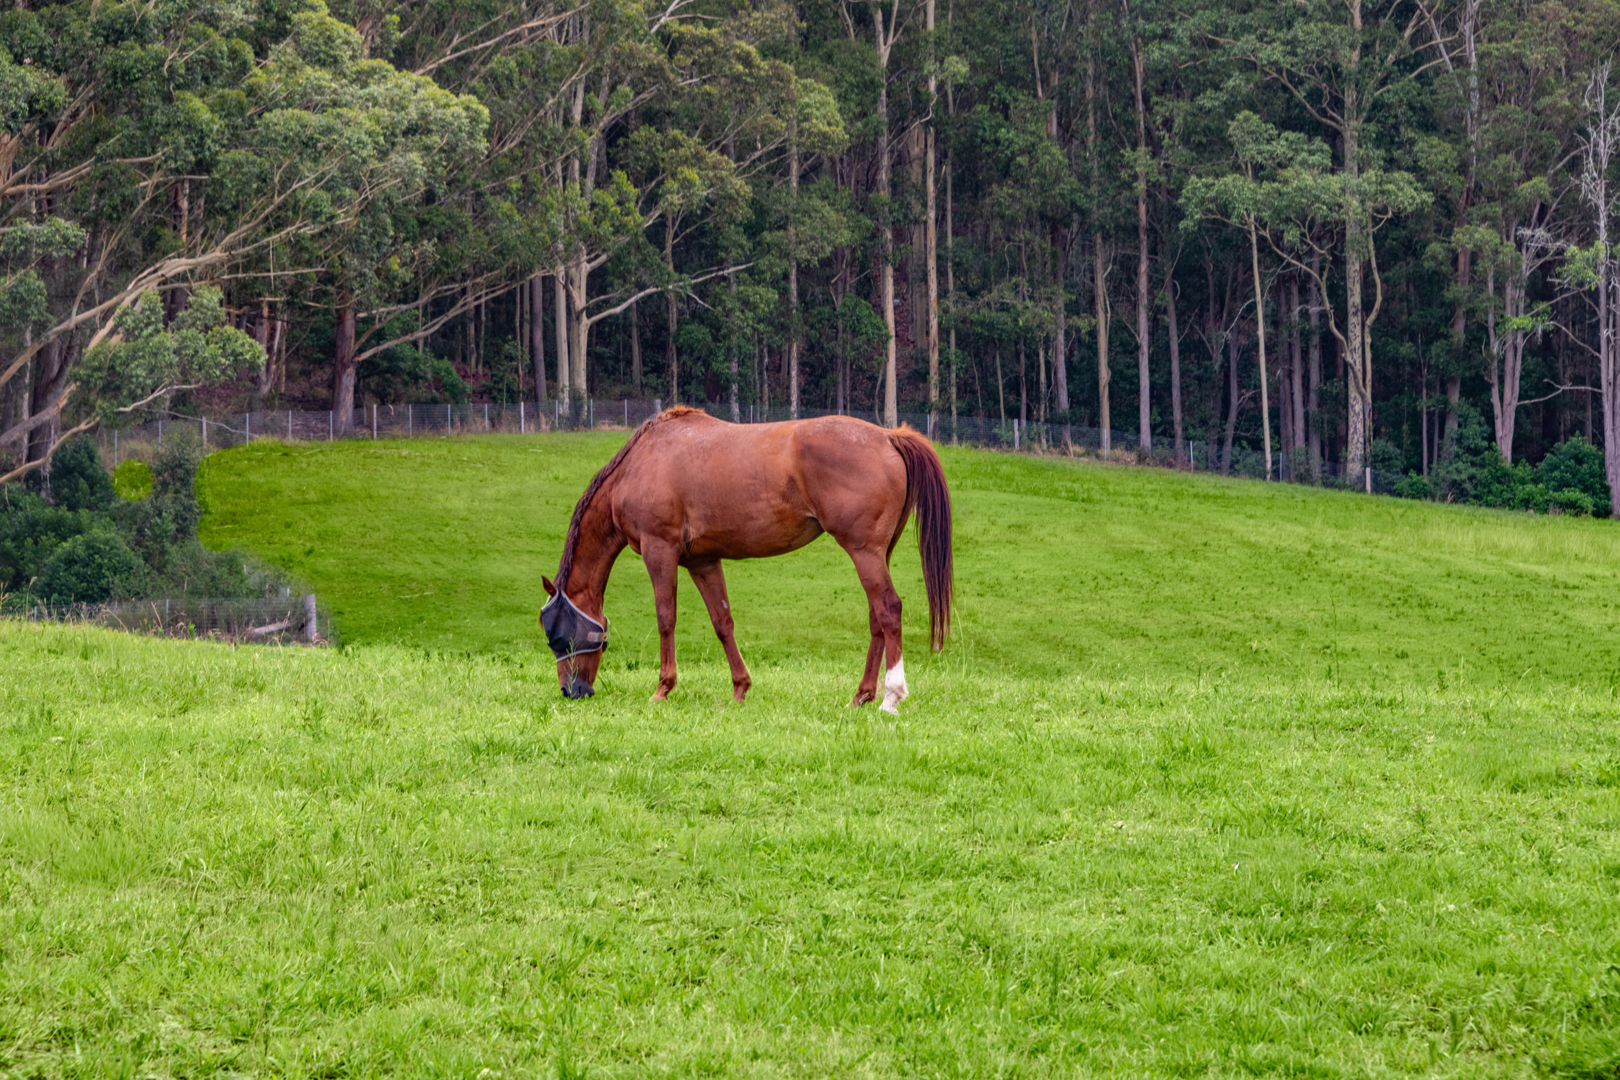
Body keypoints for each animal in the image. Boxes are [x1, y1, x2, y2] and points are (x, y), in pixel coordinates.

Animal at [539, 406, 953, 712]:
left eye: (557, 636)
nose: (571, 691)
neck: (640, 463)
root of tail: (888, 436)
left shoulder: (660, 551)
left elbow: (665, 618)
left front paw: (663, 688)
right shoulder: (703, 561)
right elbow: (722, 622)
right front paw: (740, 688)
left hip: (864, 551)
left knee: (888, 609)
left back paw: (891, 697)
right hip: (878, 553)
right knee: (876, 618)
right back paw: (862, 694)